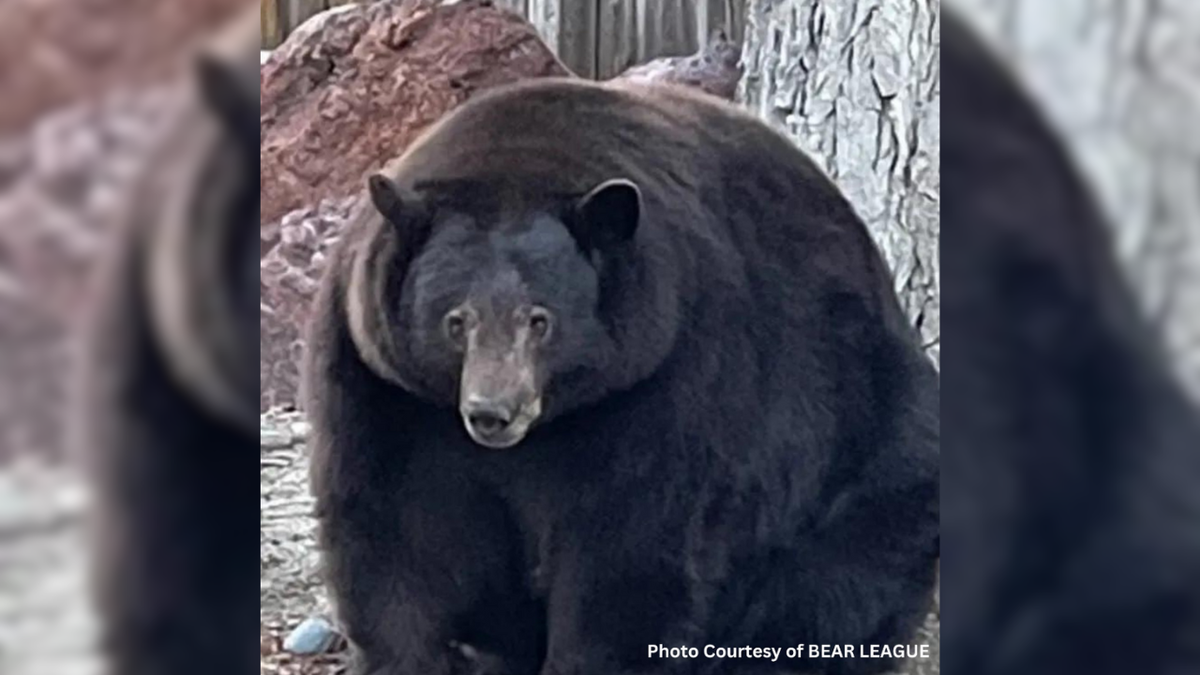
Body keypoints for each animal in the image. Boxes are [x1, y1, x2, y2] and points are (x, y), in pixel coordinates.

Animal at [307, 74, 936, 672]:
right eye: (456, 320)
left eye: (540, 319)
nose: (492, 413)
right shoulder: (383, 383)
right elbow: (394, 524)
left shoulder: (668, 370)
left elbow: (631, 542)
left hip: (859, 432)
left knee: (842, 575)